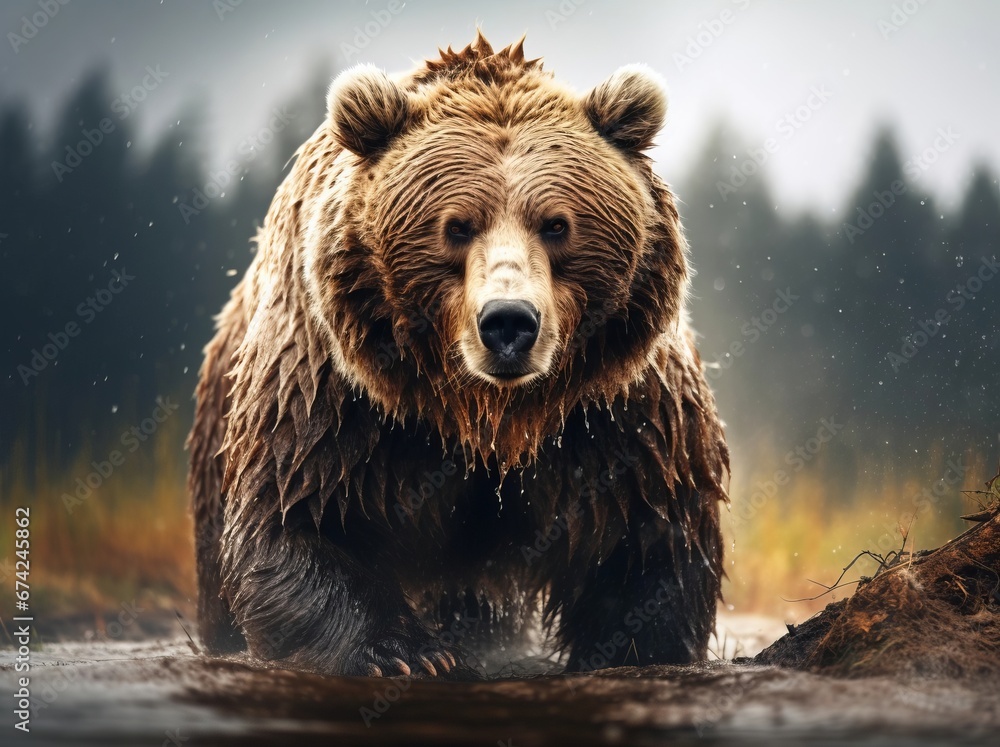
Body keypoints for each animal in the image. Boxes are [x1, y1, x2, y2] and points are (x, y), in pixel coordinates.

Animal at [188, 32, 729, 678]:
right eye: (456, 226)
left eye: (556, 224)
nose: (509, 323)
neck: (484, 413)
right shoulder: (335, 392)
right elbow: (298, 515)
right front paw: (402, 653)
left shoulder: (614, 408)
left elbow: (653, 533)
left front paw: (633, 649)